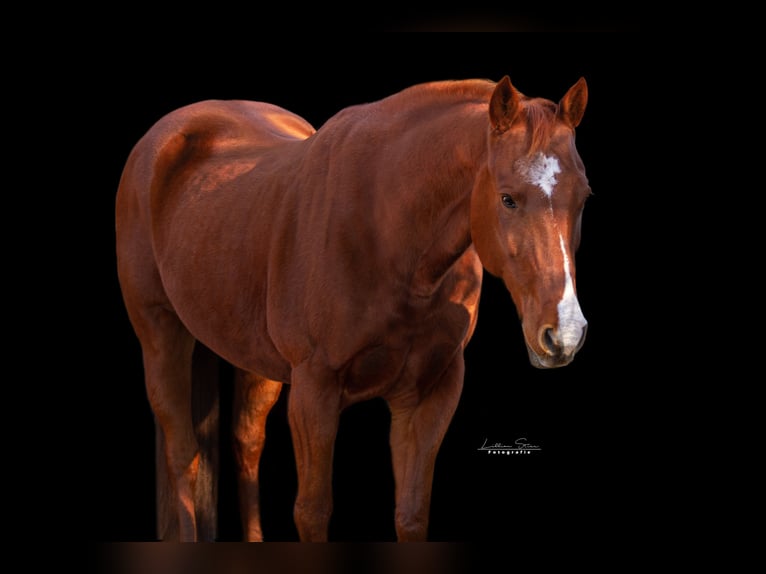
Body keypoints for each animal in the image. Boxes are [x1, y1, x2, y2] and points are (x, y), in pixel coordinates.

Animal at [115, 75, 590, 542]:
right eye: (508, 198)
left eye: (584, 197)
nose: (564, 332)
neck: (388, 233)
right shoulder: (314, 390)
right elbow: (311, 512)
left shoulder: (431, 392)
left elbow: (411, 514)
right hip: (161, 336)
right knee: (184, 456)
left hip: (254, 357)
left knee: (246, 445)